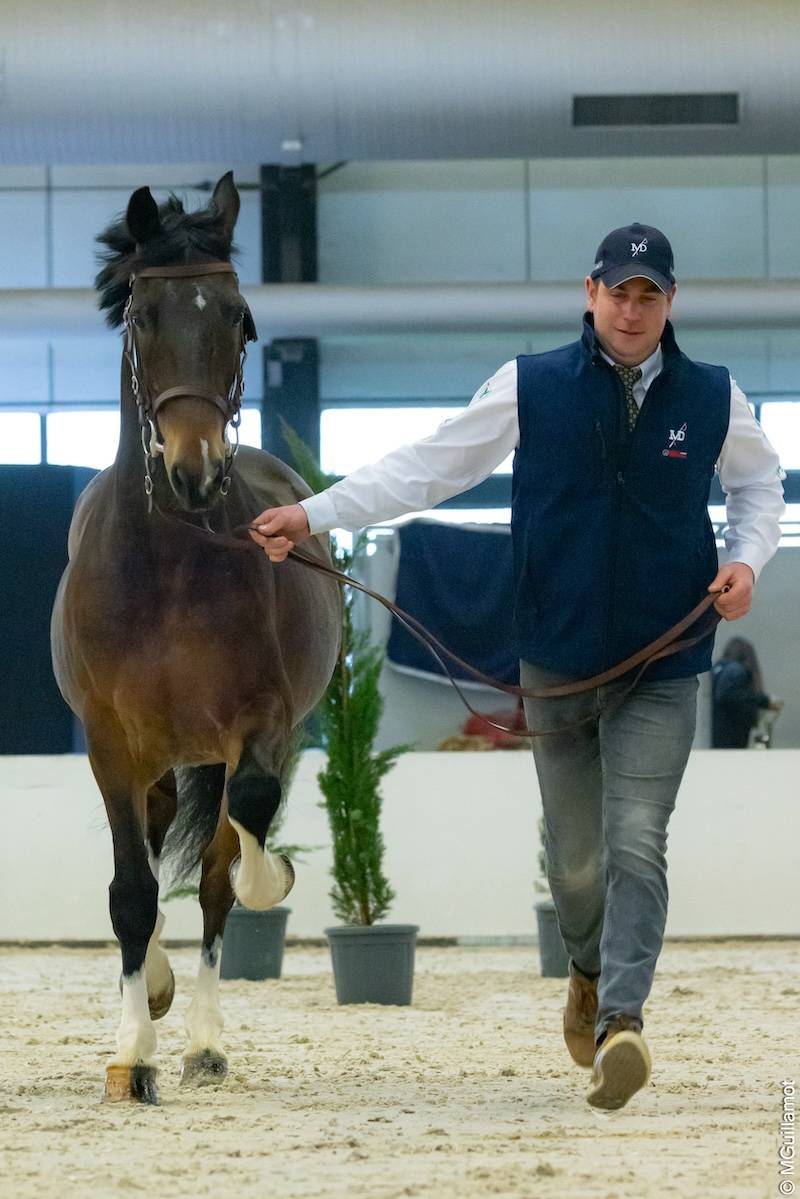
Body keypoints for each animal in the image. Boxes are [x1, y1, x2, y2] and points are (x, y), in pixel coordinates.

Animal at [50, 173, 340, 1105]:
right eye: (145, 318)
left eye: (242, 319)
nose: (195, 469)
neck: (172, 563)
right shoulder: (112, 746)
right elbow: (130, 895)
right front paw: (133, 1050)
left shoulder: (261, 726)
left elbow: (234, 857)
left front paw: (271, 878)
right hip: (157, 761)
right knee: (147, 862)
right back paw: (157, 989)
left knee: (214, 875)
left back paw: (207, 1039)